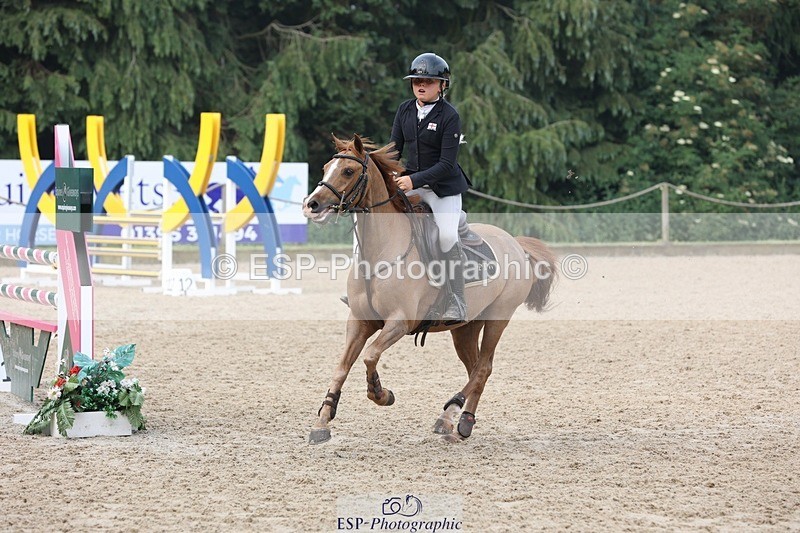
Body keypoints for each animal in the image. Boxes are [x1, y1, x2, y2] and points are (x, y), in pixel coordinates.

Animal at [302, 134, 557, 444]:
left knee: (483, 368)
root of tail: (515, 243)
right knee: (477, 368)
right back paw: (462, 423)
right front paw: (322, 422)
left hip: (499, 318)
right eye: (327, 167)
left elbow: (370, 355)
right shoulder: (359, 321)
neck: (381, 253)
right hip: (466, 327)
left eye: (348, 171)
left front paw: (381, 394)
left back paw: (449, 415)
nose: (312, 204)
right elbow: (341, 367)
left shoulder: (400, 322)